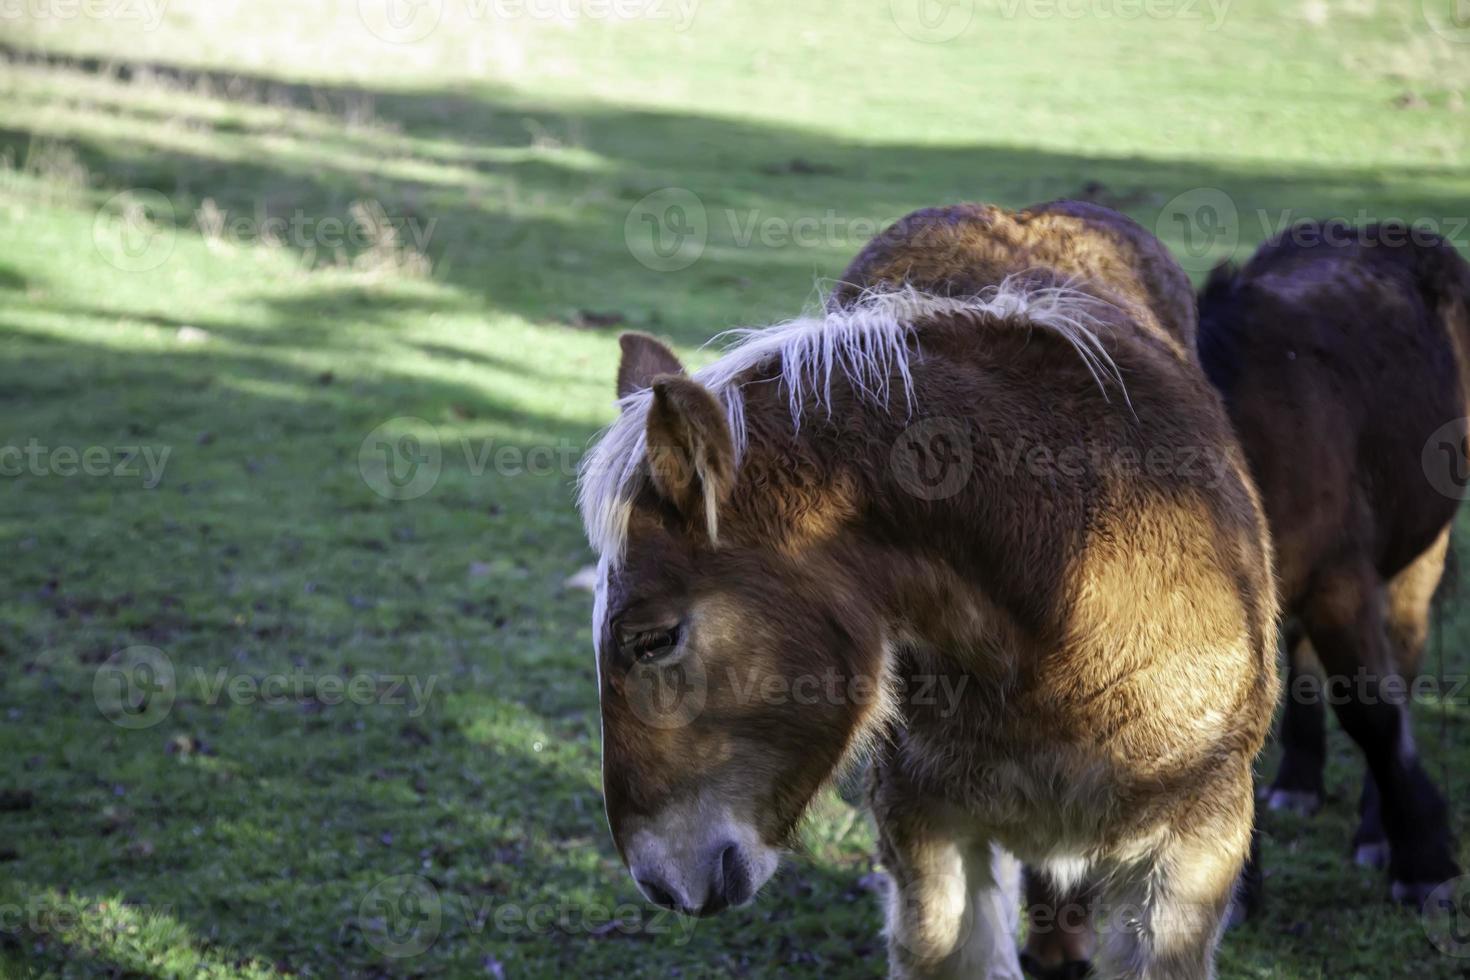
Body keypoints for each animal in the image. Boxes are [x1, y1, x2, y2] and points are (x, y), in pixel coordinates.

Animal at [1193, 220, 1470, 905]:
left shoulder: (1341, 580)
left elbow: (1373, 710)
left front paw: (1423, 861)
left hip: (1418, 554)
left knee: (1401, 665)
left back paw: (1375, 826)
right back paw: (1299, 778)